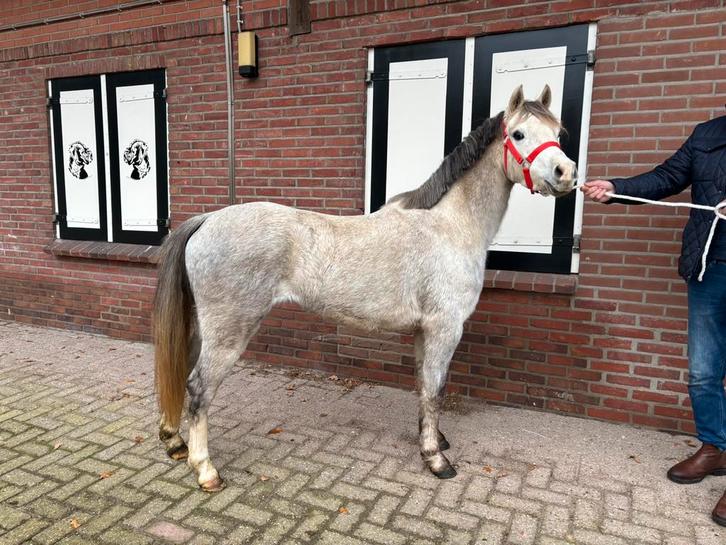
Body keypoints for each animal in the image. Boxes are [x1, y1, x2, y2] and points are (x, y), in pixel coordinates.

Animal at [154, 85, 578, 491]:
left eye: (557, 132)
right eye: (519, 134)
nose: (566, 173)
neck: (450, 226)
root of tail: (208, 220)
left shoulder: (424, 331)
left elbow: (424, 385)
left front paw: (434, 440)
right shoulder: (444, 328)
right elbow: (435, 388)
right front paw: (436, 460)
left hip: (202, 327)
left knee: (180, 372)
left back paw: (175, 442)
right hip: (229, 333)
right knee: (198, 388)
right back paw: (205, 469)